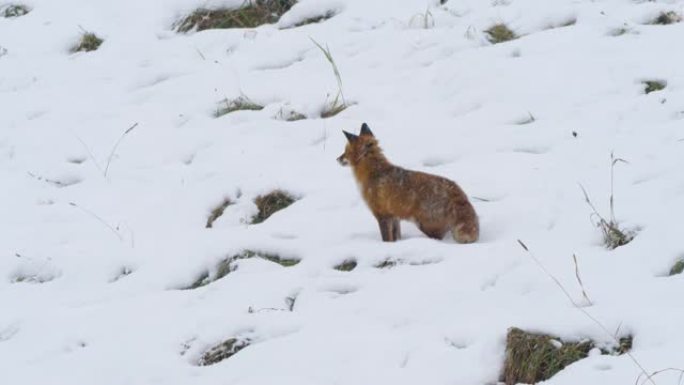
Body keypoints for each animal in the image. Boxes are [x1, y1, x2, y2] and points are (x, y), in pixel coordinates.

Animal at [338, 123, 478, 243]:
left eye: (345, 151)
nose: (337, 159)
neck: (375, 173)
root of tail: (456, 190)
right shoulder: (394, 216)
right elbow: (396, 238)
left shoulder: (382, 215)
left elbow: (386, 240)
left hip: (425, 226)